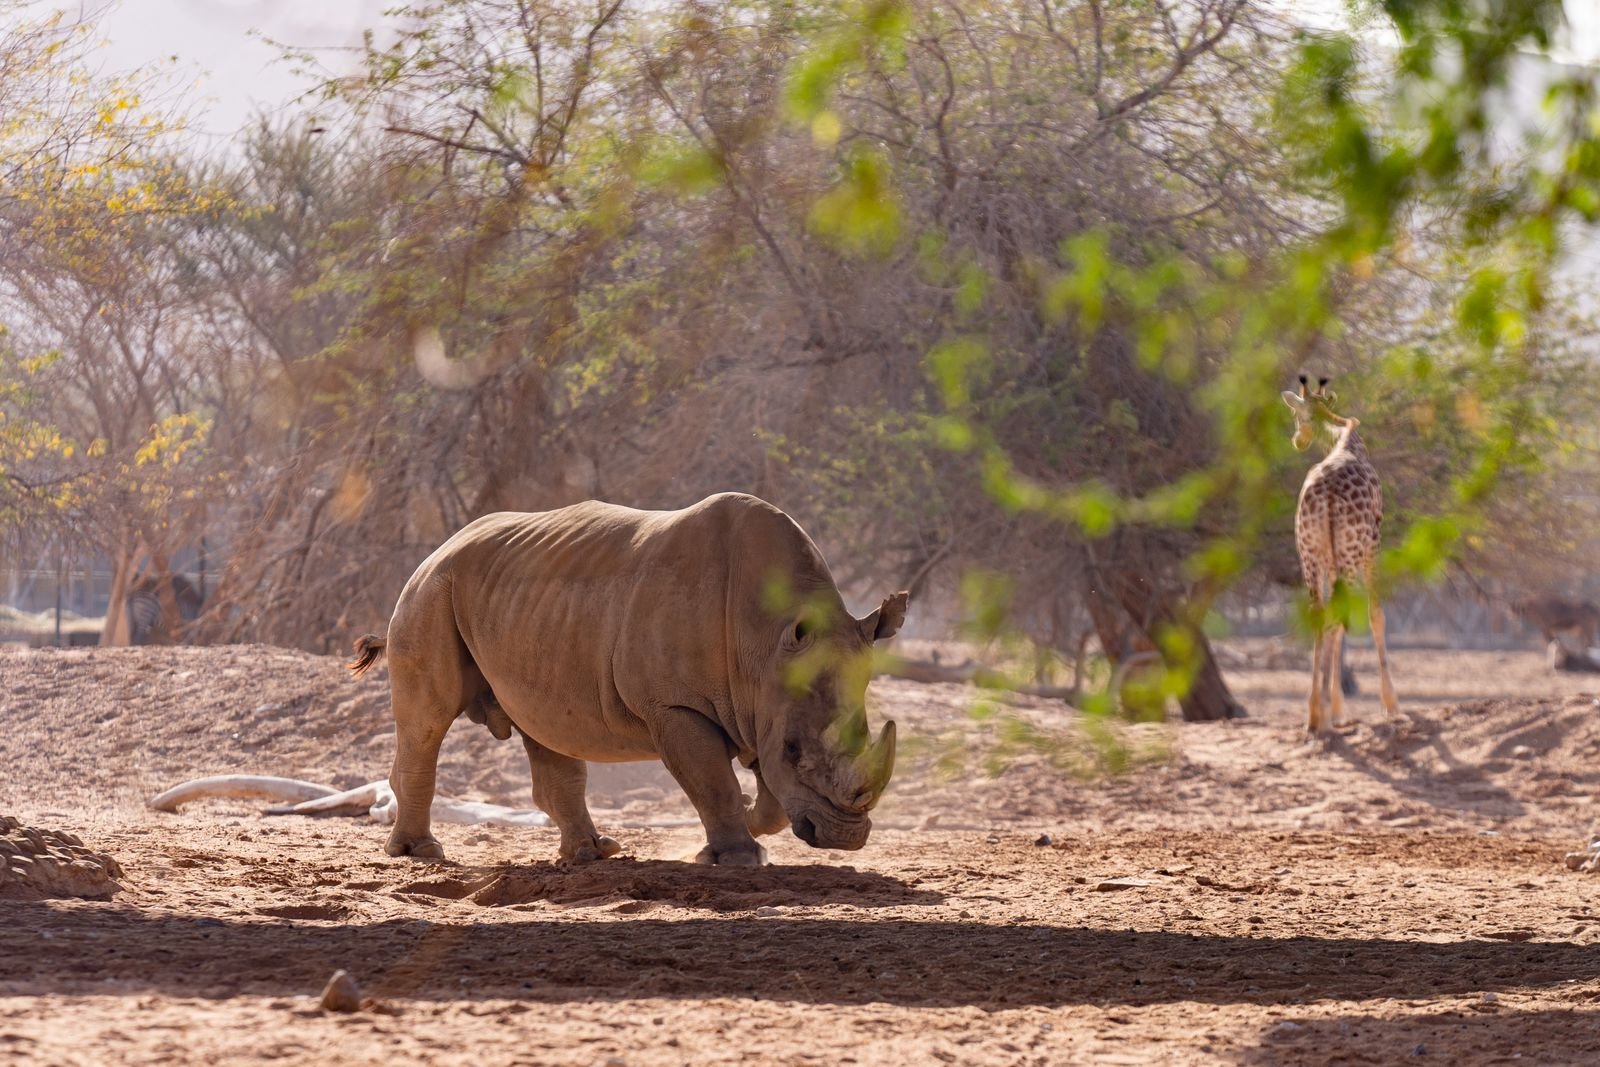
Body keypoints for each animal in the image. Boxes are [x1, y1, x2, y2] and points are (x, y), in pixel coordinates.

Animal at [1282, 375, 1400, 733]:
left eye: (1296, 415)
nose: (1297, 440)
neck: (1345, 438)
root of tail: (1328, 496)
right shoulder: (1373, 544)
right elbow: (1376, 615)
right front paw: (1391, 704)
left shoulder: (1328, 559)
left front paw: (1334, 708)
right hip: (1349, 552)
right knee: (1337, 615)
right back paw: (1321, 711)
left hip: (1310, 553)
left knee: (1321, 614)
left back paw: (1313, 714)